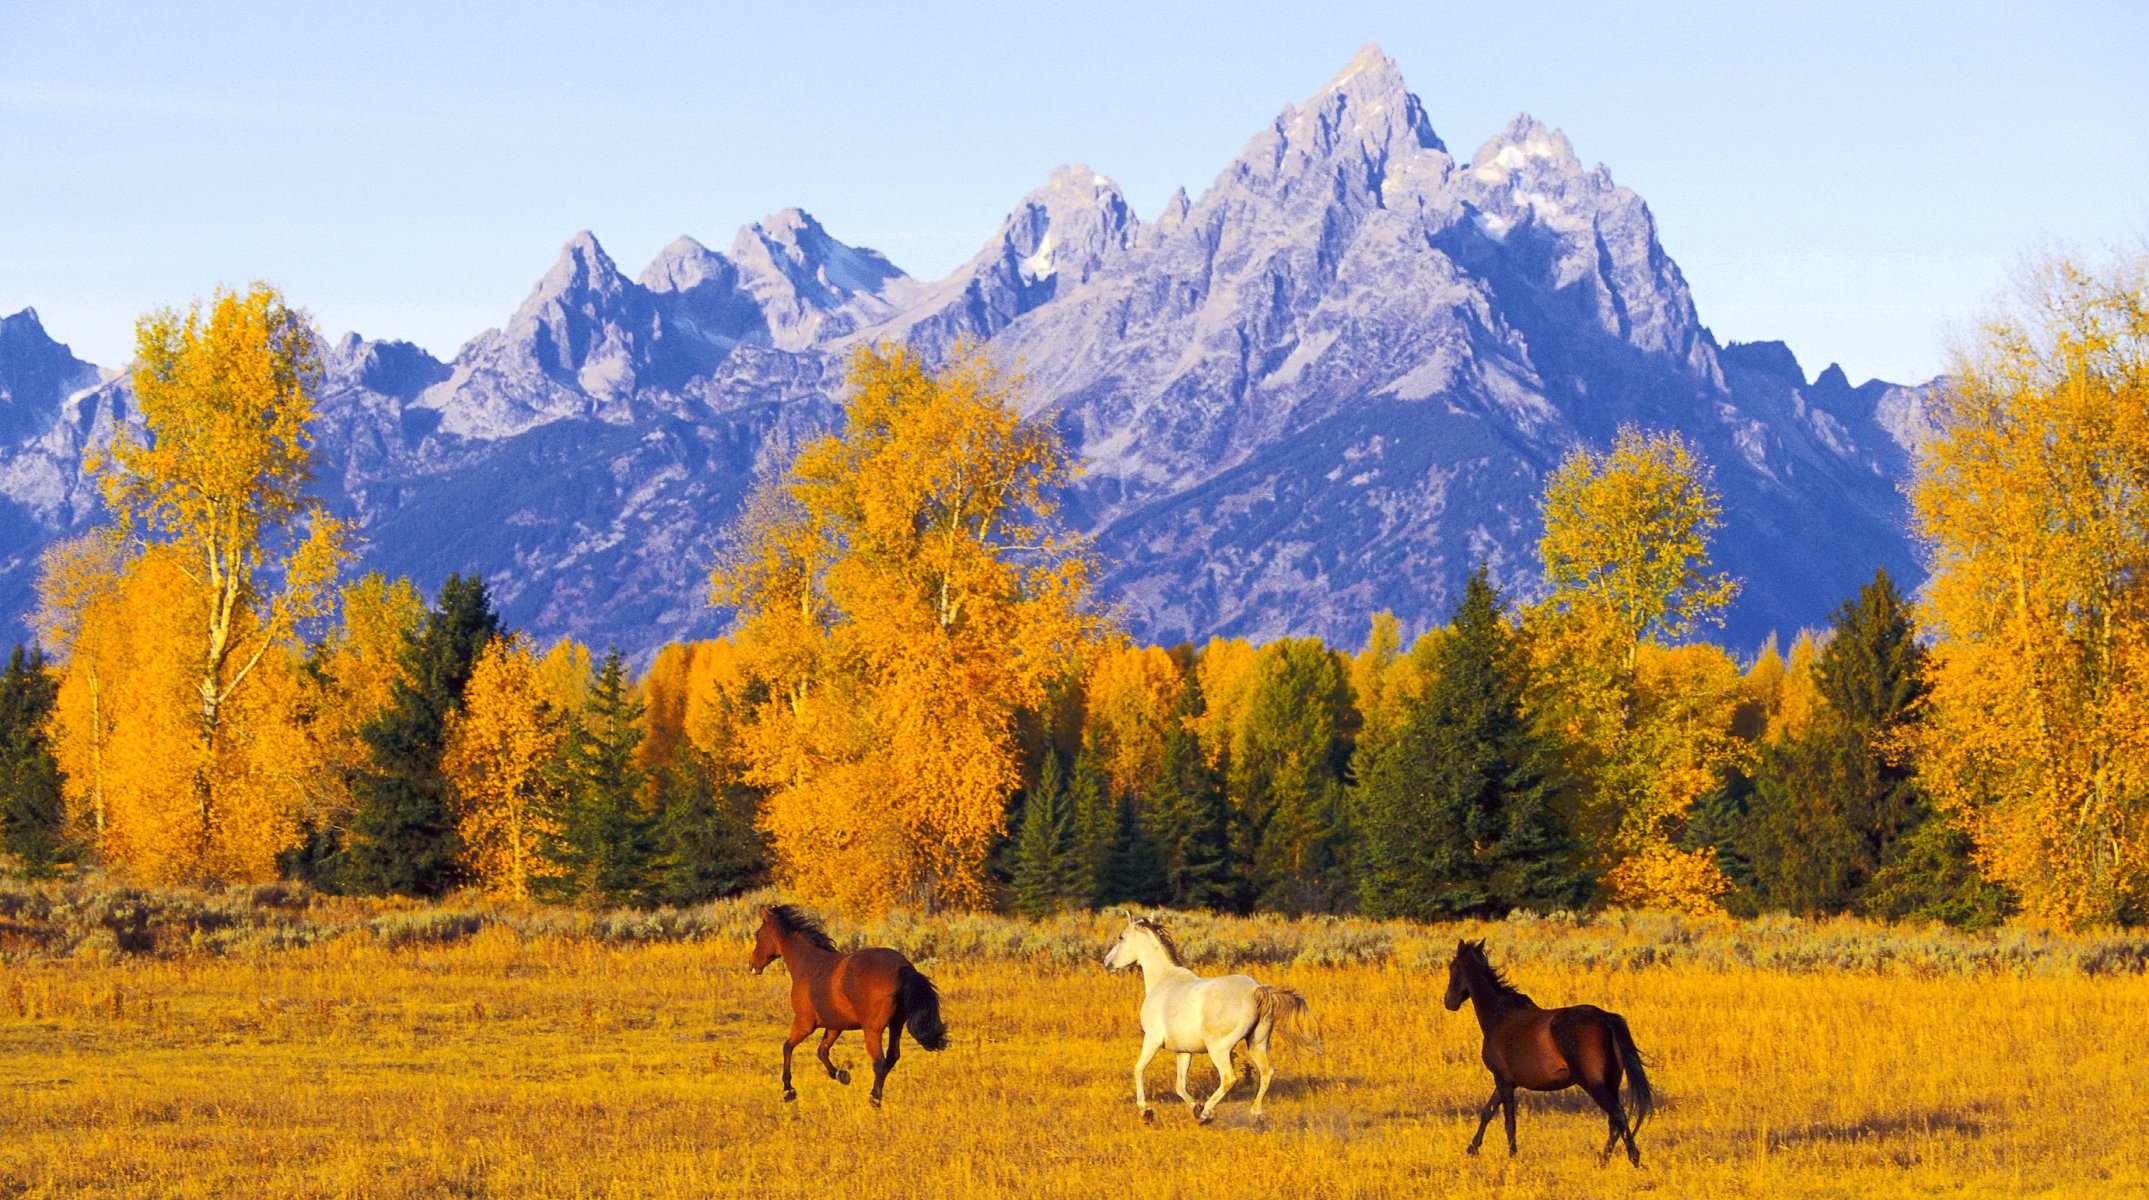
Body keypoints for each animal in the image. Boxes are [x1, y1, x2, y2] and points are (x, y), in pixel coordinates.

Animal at [747, 903, 941, 1109]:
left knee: (880, 1062)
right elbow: (822, 1051)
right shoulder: (834, 1026)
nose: (752, 965)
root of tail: (903, 968)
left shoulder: (804, 1023)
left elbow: (787, 1047)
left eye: (758, 934)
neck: (808, 965)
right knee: (892, 1056)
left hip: (872, 1030)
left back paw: (874, 1099)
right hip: (896, 1023)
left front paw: (788, 1090)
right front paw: (842, 1075)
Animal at [1100, 916, 1315, 1126]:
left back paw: (1207, 1114)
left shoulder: (1152, 1040)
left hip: (1219, 1049)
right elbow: (1180, 1086)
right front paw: (1195, 1107)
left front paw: (1146, 1112)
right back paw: (1256, 1115)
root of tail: (1257, 989)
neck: (1163, 980)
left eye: (1121, 937)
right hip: (1257, 1043)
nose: (1107, 963)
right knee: (1267, 1072)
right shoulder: (1183, 1051)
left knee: (1229, 1078)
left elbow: (1138, 1070)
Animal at [1452, 941, 1650, 1169]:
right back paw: (1603, 1160)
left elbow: (1508, 1122)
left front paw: (1512, 1157)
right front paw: (1472, 1149)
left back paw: (1633, 1159)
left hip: (1594, 1084)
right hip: (1611, 1083)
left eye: (1452, 967)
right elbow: (1487, 1112)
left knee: (1618, 1115)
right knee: (1614, 1121)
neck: (1500, 1016)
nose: (1449, 1002)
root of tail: (1606, 1020)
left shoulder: (1502, 1080)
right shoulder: (1507, 1081)